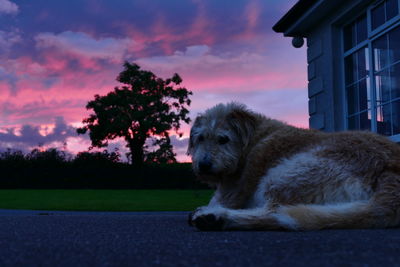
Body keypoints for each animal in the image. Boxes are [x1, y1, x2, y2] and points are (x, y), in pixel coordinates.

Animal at [187, 103, 400, 231]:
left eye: (223, 139)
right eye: (200, 138)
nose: (203, 165)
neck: (252, 138)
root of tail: (391, 169)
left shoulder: (235, 189)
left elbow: (220, 200)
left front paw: (211, 208)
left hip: (284, 175)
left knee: (275, 213)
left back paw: (217, 217)